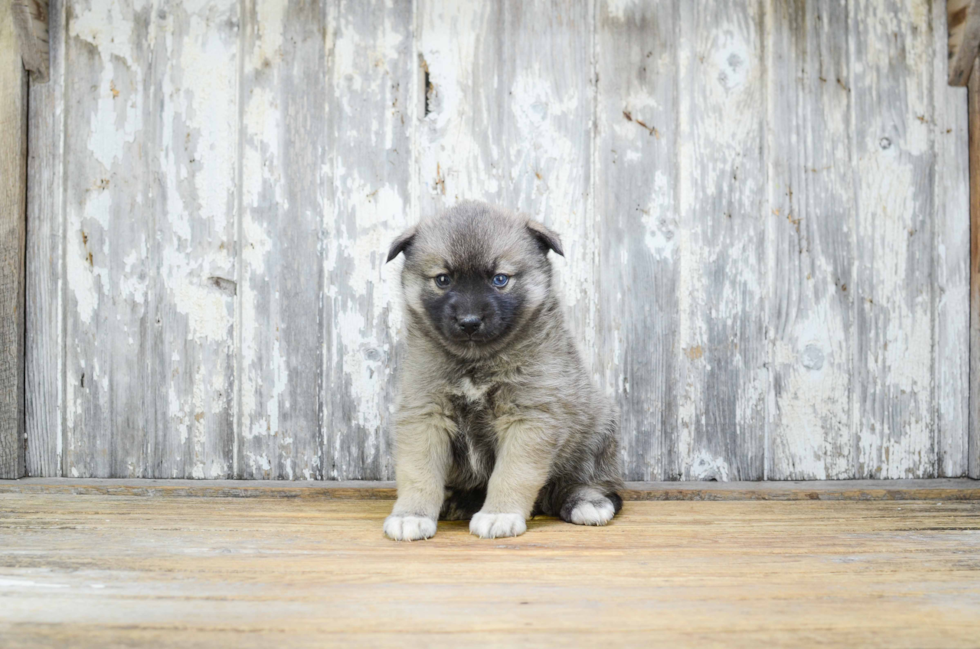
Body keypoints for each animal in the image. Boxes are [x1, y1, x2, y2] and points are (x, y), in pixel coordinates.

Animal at [382, 200, 620, 540]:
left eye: (500, 279)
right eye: (443, 279)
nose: (469, 322)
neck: (476, 360)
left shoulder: (529, 418)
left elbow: (512, 473)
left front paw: (500, 513)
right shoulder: (425, 414)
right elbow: (419, 472)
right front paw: (411, 515)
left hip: (598, 430)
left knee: (589, 480)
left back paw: (588, 502)